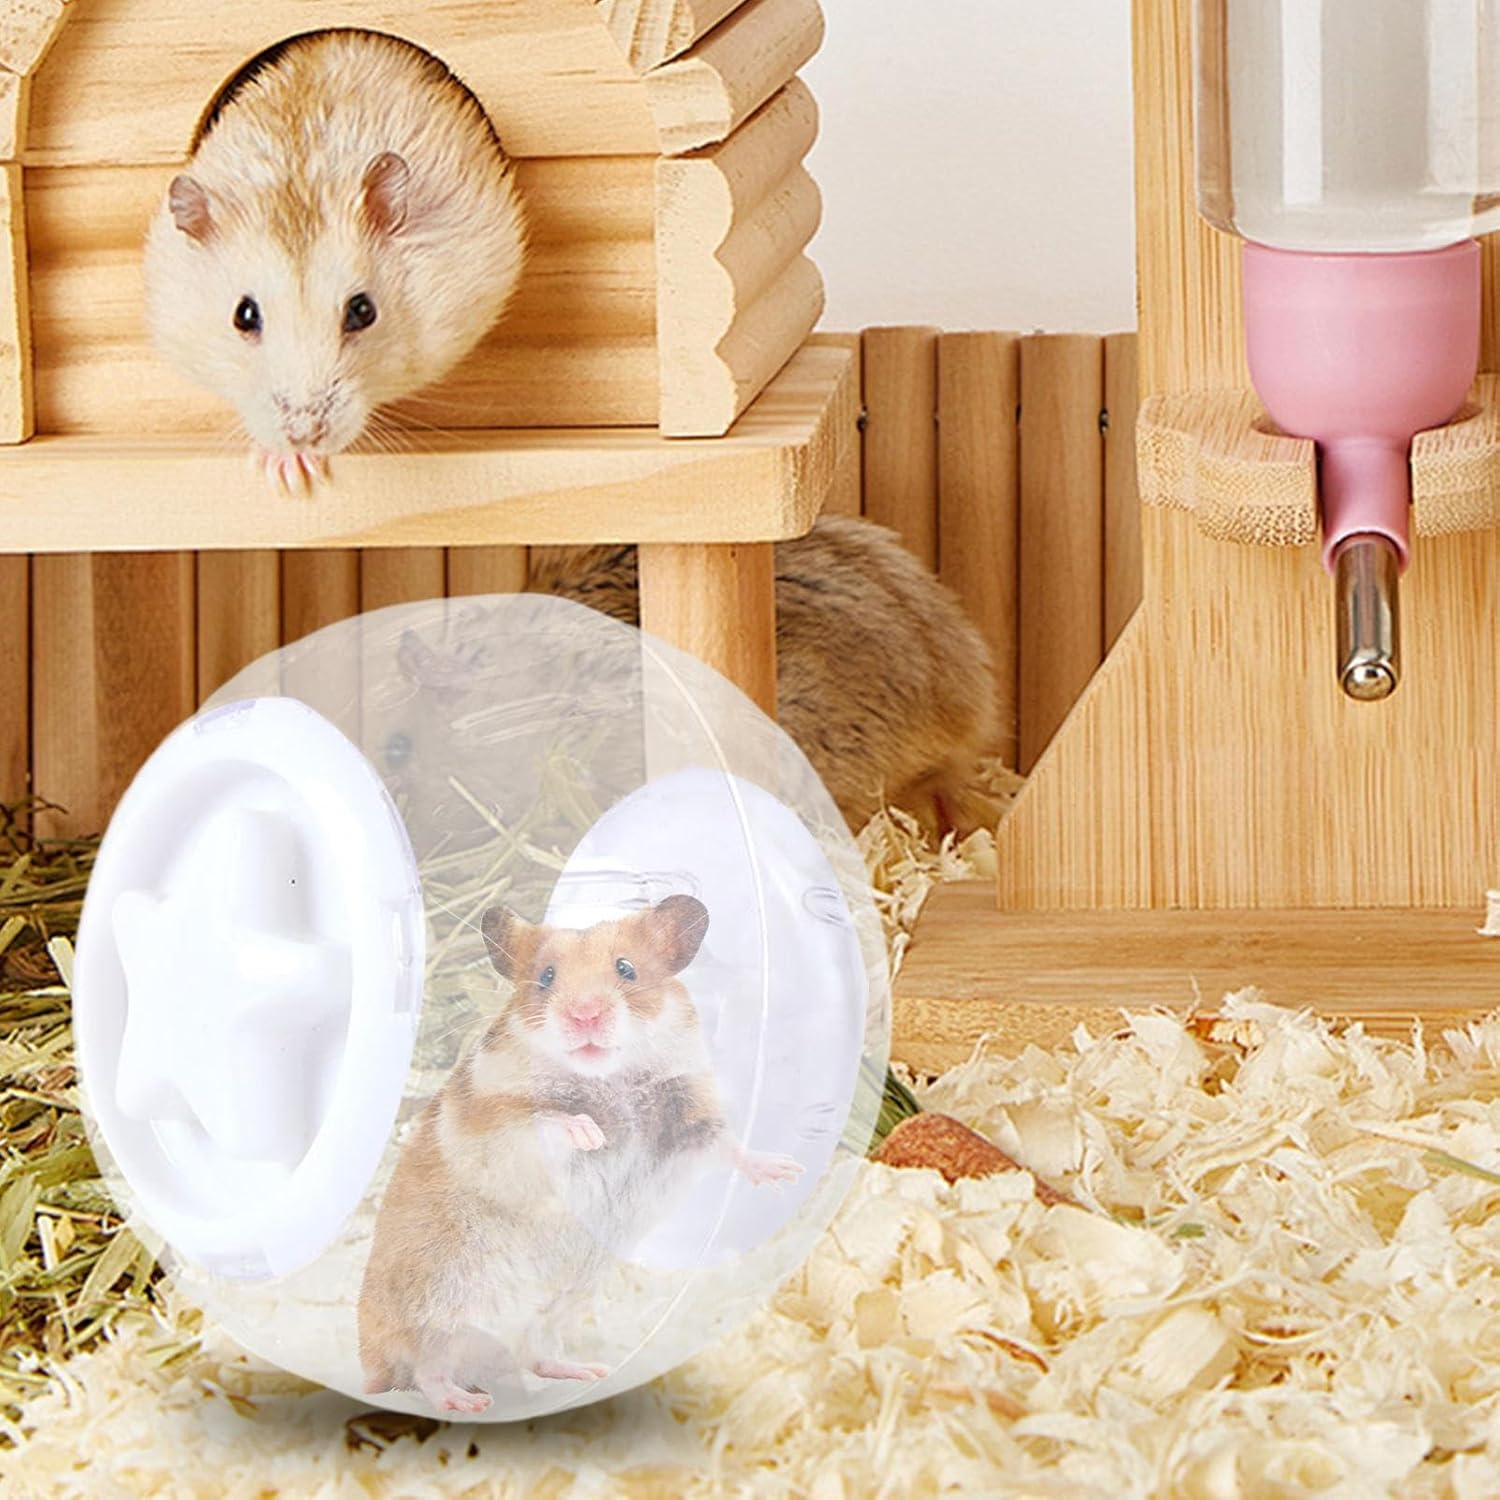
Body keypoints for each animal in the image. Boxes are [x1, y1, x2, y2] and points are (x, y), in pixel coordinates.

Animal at [357, 895, 801, 1416]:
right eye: (546, 976)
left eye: (626, 968)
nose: (584, 1015)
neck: (607, 1077)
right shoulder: (496, 1128)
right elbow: (545, 1121)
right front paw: (591, 1134)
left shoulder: (689, 1116)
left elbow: (729, 1146)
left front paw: (788, 1171)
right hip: (439, 1307)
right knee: (426, 1371)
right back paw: (467, 1402)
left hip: (550, 1313)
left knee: (533, 1358)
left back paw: (588, 1372)